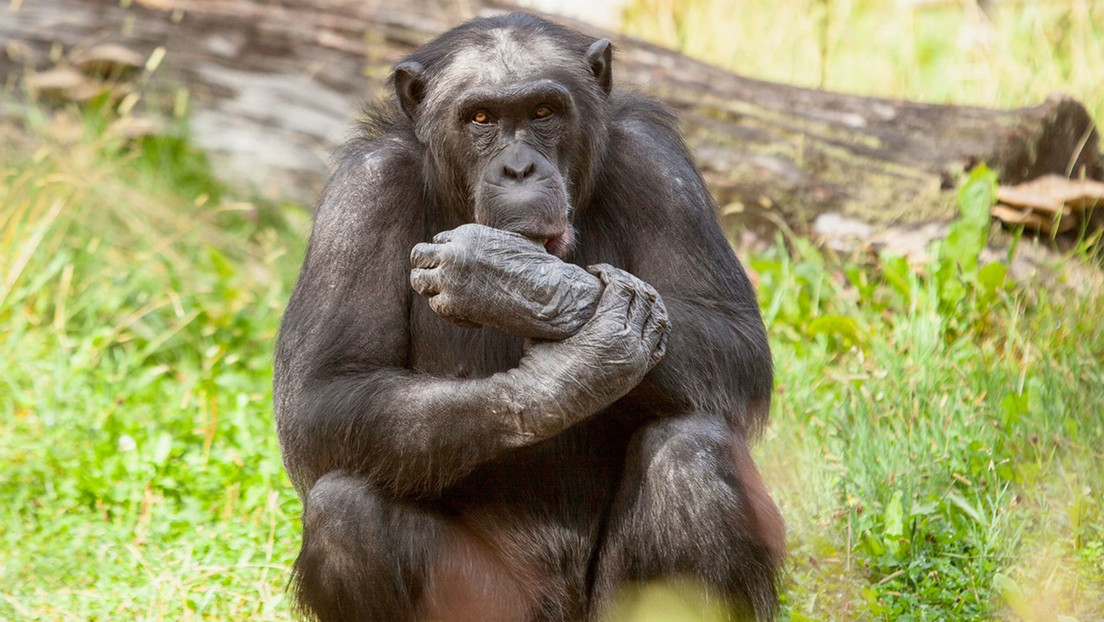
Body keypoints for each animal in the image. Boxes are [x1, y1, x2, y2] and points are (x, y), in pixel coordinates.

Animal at [271, 10, 781, 622]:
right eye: (481, 118)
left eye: (542, 113)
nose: (518, 168)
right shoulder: (361, 195)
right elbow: (324, 392)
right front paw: (563, 368)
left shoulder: (658, 164)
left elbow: (735, 341)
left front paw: (518, 279)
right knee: (344, 514)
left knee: (694, 457)